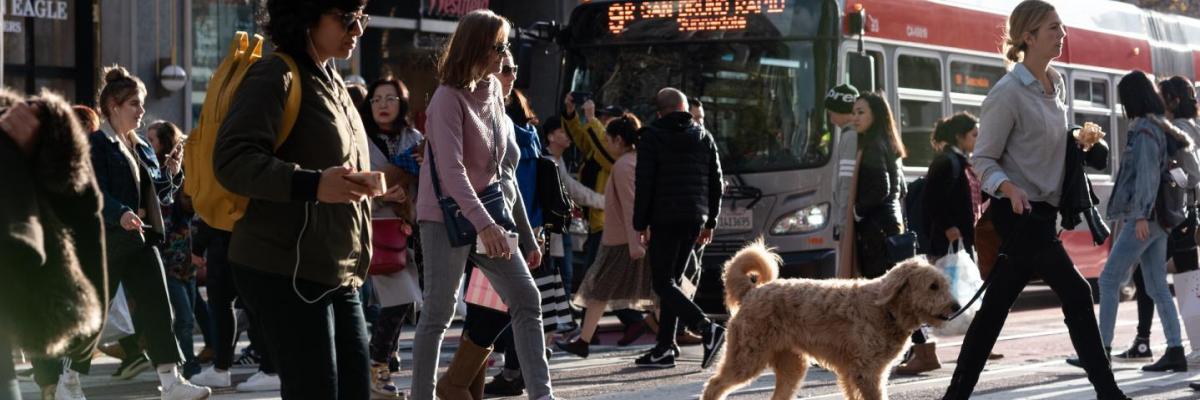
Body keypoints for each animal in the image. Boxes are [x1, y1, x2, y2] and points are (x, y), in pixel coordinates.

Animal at [700, 240, 960, 398]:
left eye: (944, 284)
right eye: (933, 286)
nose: (957, 306)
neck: (886, 310)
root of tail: (752, 291)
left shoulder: (861, 373)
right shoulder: (866, 372)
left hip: (791, 366)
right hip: (747, 358)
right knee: (714, 385)